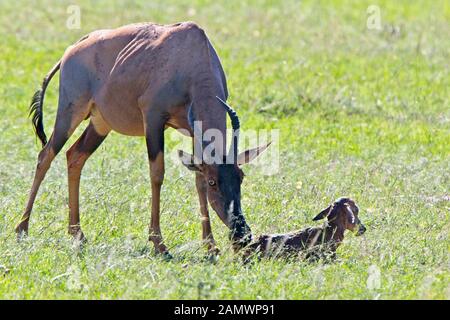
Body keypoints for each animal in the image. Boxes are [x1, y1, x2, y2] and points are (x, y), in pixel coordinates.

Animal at [16, 21, 270, 258]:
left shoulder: (193, 131)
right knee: (46, 155)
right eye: (214, 183)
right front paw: (160, 244)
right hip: (71, 112)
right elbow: (157, 174)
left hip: (100, 123)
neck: (190, 53)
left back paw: (78, 234)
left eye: (240, 176)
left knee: (75, 156)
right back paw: (22, 229)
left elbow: (196, 177)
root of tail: (73, 48)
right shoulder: (153, 119)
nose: (242, 235)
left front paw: (211, 246)